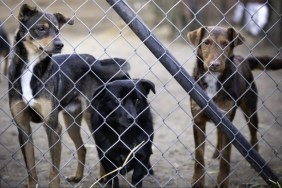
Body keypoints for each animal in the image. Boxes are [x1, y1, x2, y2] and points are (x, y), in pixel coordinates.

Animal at [8, 3, 130, 187]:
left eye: (58, 30)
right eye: (41, 28)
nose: (60, 45)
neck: (31, 67)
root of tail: (95, 61)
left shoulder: (53, 127)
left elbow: (53, 172)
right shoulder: (23, 128)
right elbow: (31, 170)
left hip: (92, 118)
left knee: (103, 149)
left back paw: (104, 178)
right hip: (70, 119)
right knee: (82, 148)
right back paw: (78, 177)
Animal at [187, 25, 282, 187]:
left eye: (226, 44)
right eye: (206, 42)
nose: (215, 65)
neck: (213, 80)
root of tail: (243, 59)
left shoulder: (227, 120)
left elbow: (226, 156)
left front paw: (222, 181)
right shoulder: (198, 119)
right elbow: (199, 155)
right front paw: (198, 181)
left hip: (250, 109)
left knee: (253, 134)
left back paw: (254, 156)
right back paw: (216, 152)